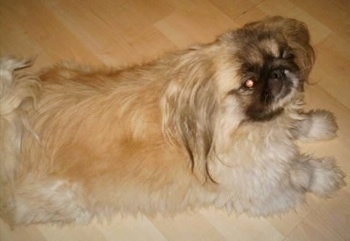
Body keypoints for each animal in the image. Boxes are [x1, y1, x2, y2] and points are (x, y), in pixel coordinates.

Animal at [0, 16, 344, 225]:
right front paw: (324, 176)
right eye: (248, 83)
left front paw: (318, 124)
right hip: (68, 199)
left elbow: (296, 127)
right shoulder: (258, 185)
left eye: (284, 55)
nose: (278, 72)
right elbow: (298, 172)